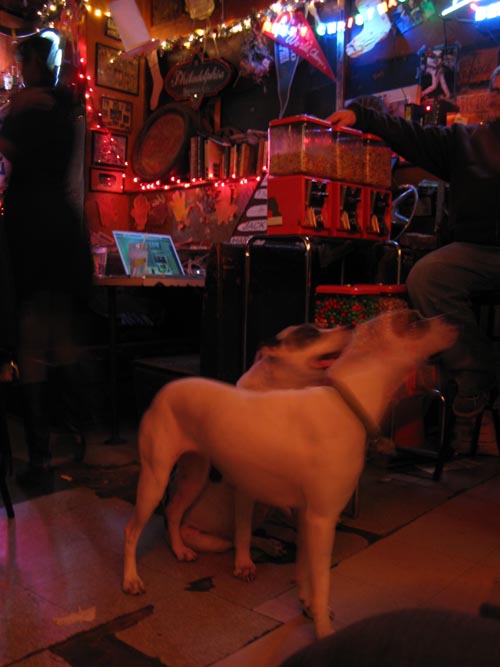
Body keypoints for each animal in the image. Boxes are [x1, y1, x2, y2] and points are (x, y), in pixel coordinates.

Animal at [163, 322, 354, 576]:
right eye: (310, 333)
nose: (350, 325)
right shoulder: (246, 489)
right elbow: (243, 533)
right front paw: (244, 564)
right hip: (202, 529)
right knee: (231, 537)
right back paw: (183, 549)